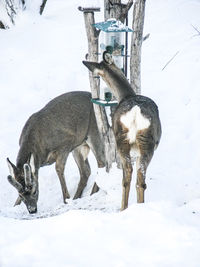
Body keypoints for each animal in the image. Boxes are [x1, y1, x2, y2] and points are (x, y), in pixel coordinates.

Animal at [82, 52, 162, 211]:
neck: (125, 95)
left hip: (123, 139)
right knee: (138, 177)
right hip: (144, 142)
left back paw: (124, 208)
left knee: (129, 175)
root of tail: (135, 111)